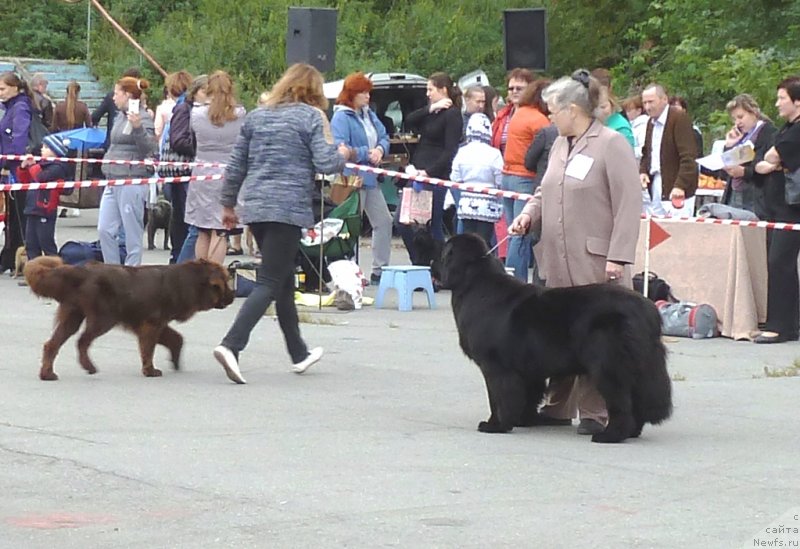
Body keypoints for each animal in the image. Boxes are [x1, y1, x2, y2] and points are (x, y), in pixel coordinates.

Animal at [25, 256, 231, 382]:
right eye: (226, 283)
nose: (233, 296)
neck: (189, 281)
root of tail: (82, 270)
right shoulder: (152, 323)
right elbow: (149, 349)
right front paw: (150, 371)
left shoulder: (154, 322)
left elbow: (176, 339)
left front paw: (176, 361)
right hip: (103, 318)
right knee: (82, 341)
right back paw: (89, 366)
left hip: (73, 316)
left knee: (52, 344)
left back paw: (47, 374)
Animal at [440, 233, 672, 444]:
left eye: (444, 250)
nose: (434, 262)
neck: (475, 284)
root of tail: (649, 310)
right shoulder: (527, 370)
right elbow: (528, 396)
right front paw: (523, 420)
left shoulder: (496, 367)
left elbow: (498, 398)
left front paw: (496, 425)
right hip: (640, 368)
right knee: (638, 401)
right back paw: (632, 432)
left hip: (609, 365)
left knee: (621, 402)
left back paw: (610, 436)